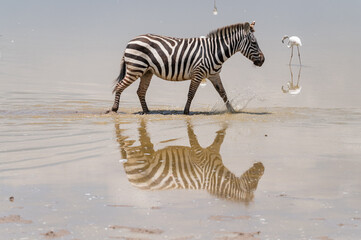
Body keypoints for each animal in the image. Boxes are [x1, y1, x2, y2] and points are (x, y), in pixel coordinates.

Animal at [107, 20, 264, 114]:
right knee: (119, 86)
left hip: (147, 72)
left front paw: (232, 111)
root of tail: (130, 42)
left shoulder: (214, 75)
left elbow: (223, 93)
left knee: (140, 91)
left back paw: (147, 112)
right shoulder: (198, 73)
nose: (263, 60)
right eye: (254, 43)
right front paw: (186, 112)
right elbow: (191, 93)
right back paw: (114, 109)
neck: (214, 51)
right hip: (135, 68)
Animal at [115, 120, 264, 202]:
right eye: (254, 185)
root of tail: (132, 180)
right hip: (136, 156)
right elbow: (196, 138)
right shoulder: (204, 154)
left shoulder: (213, 153)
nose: (262, 167)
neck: (217, 177)